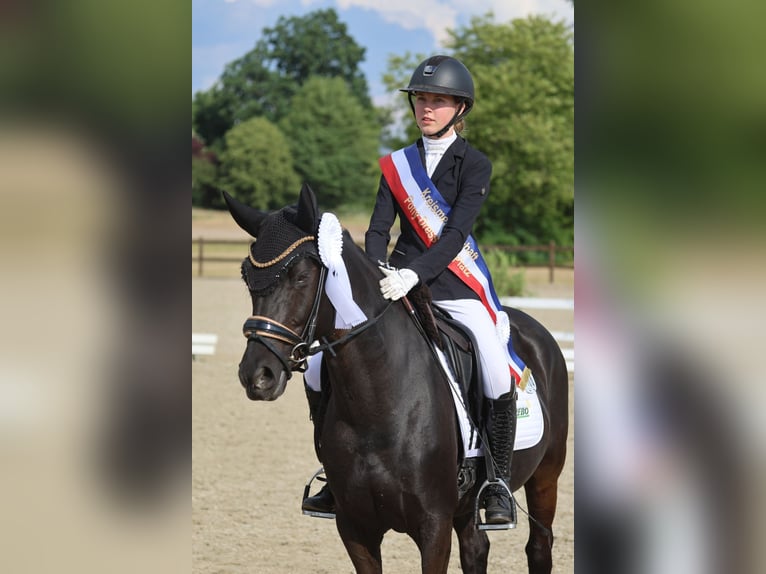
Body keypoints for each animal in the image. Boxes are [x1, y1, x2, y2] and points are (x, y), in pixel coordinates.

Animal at [222, 187, 568, 572]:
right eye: (246, 277)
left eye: (300, 276)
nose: (257, 375)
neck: (377, 401)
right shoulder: (355, 527)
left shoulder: (433, 526)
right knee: (476, 549)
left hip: (546, 476)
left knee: (539, 545)